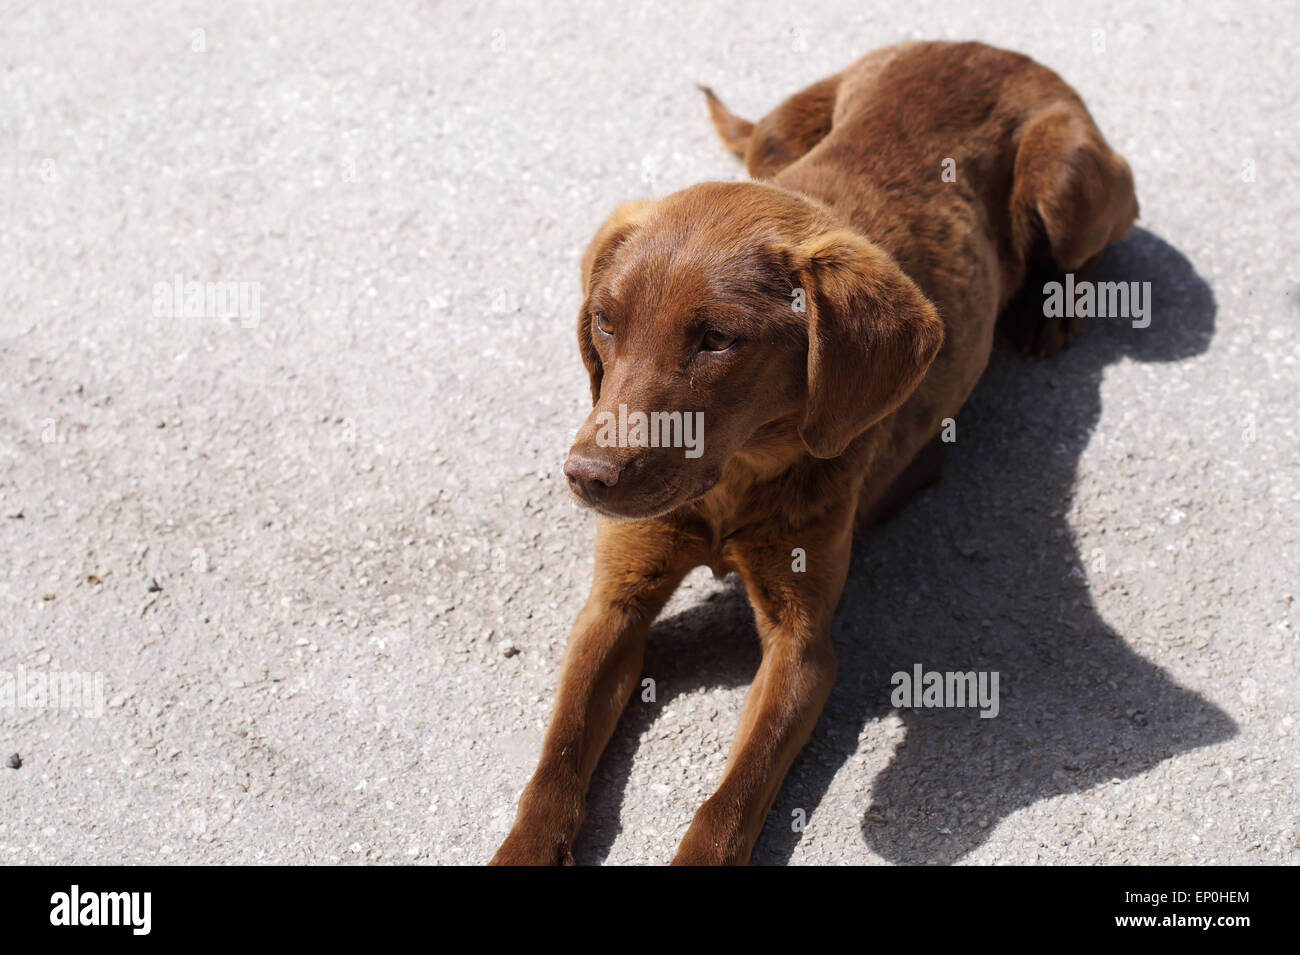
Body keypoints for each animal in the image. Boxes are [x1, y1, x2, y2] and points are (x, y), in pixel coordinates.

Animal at [491, 39, 1133, 867]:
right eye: (604, 322)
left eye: (717, 338)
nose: (585, 478)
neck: (730, 482)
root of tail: (993, 47)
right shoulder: (613, 604)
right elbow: (555, 763)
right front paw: (525, 845)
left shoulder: (804, 648)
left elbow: (730, 803)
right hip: (776, 135)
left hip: (1064, 181)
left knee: (1096, 235)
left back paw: (1050, 309)